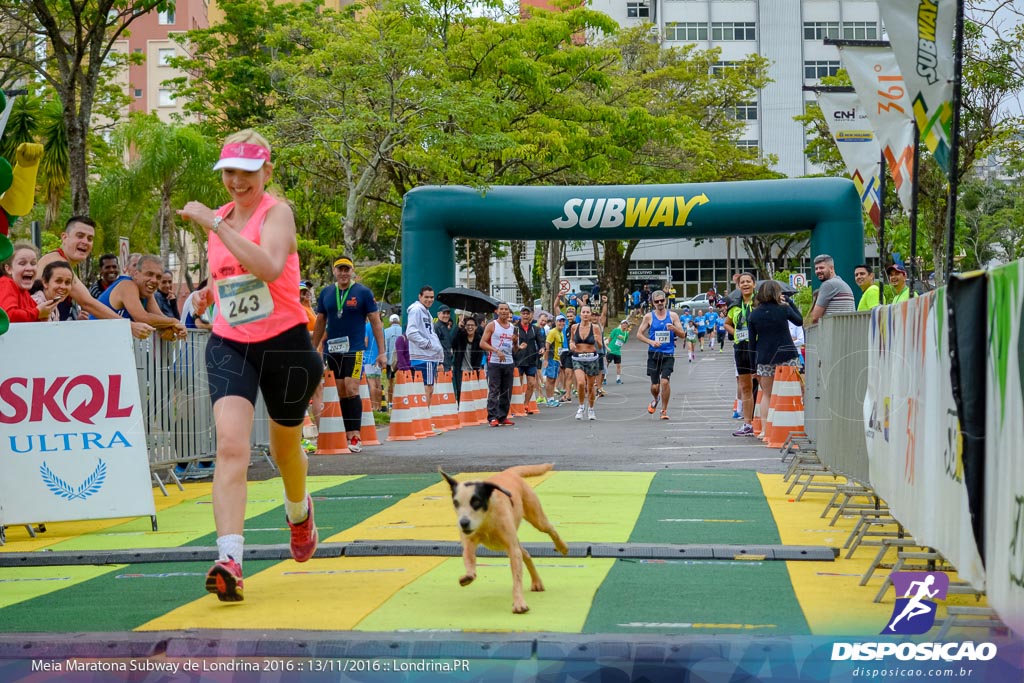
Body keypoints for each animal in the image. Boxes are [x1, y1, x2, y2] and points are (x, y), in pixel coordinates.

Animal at [438, 464, 569, 614]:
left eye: (476, 501)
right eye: (456, 503)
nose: (463, 523)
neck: (486, 519)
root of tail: (509, 472)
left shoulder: (512, 548)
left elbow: (517, 578)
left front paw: (519, 604)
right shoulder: (470, 541)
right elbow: (469, 558)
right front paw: (468, 576)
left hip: (536, 517)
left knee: (549, 529)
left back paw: (562, 547)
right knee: (526, 553)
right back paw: (536, 582)